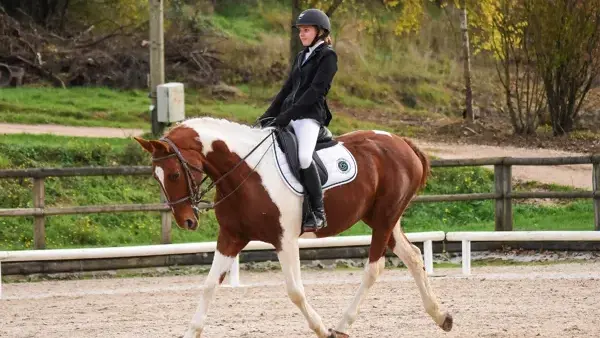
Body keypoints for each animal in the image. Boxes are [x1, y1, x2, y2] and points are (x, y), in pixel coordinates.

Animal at [132, 117, 450, 338]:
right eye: (157, 177)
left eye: (174, 174)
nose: (187, 221)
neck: (244, 172)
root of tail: (402, 141)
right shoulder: (231, 237)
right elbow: (209, 285)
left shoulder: (284, 239)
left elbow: (295, 290)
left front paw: (321, 329)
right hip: (382, 218)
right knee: (413, 256)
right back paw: (442, 316)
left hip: (384, 217)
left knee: (375, 268)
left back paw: (341, 326)